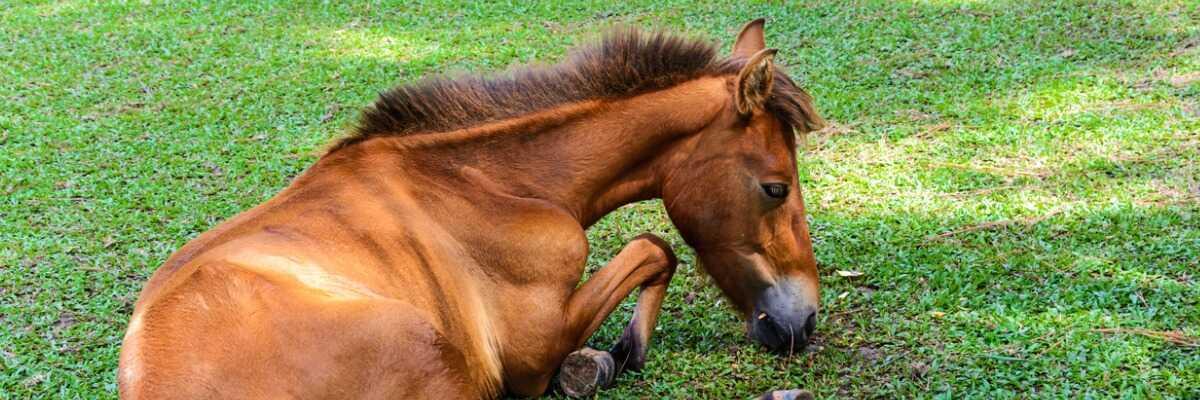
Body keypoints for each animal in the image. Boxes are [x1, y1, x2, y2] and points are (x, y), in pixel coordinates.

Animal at [118, 18, 825, 399]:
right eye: (776, 188)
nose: (803, 323)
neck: (486, 182)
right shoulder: (528, 350)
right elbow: (656, 247)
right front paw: (620, 350)